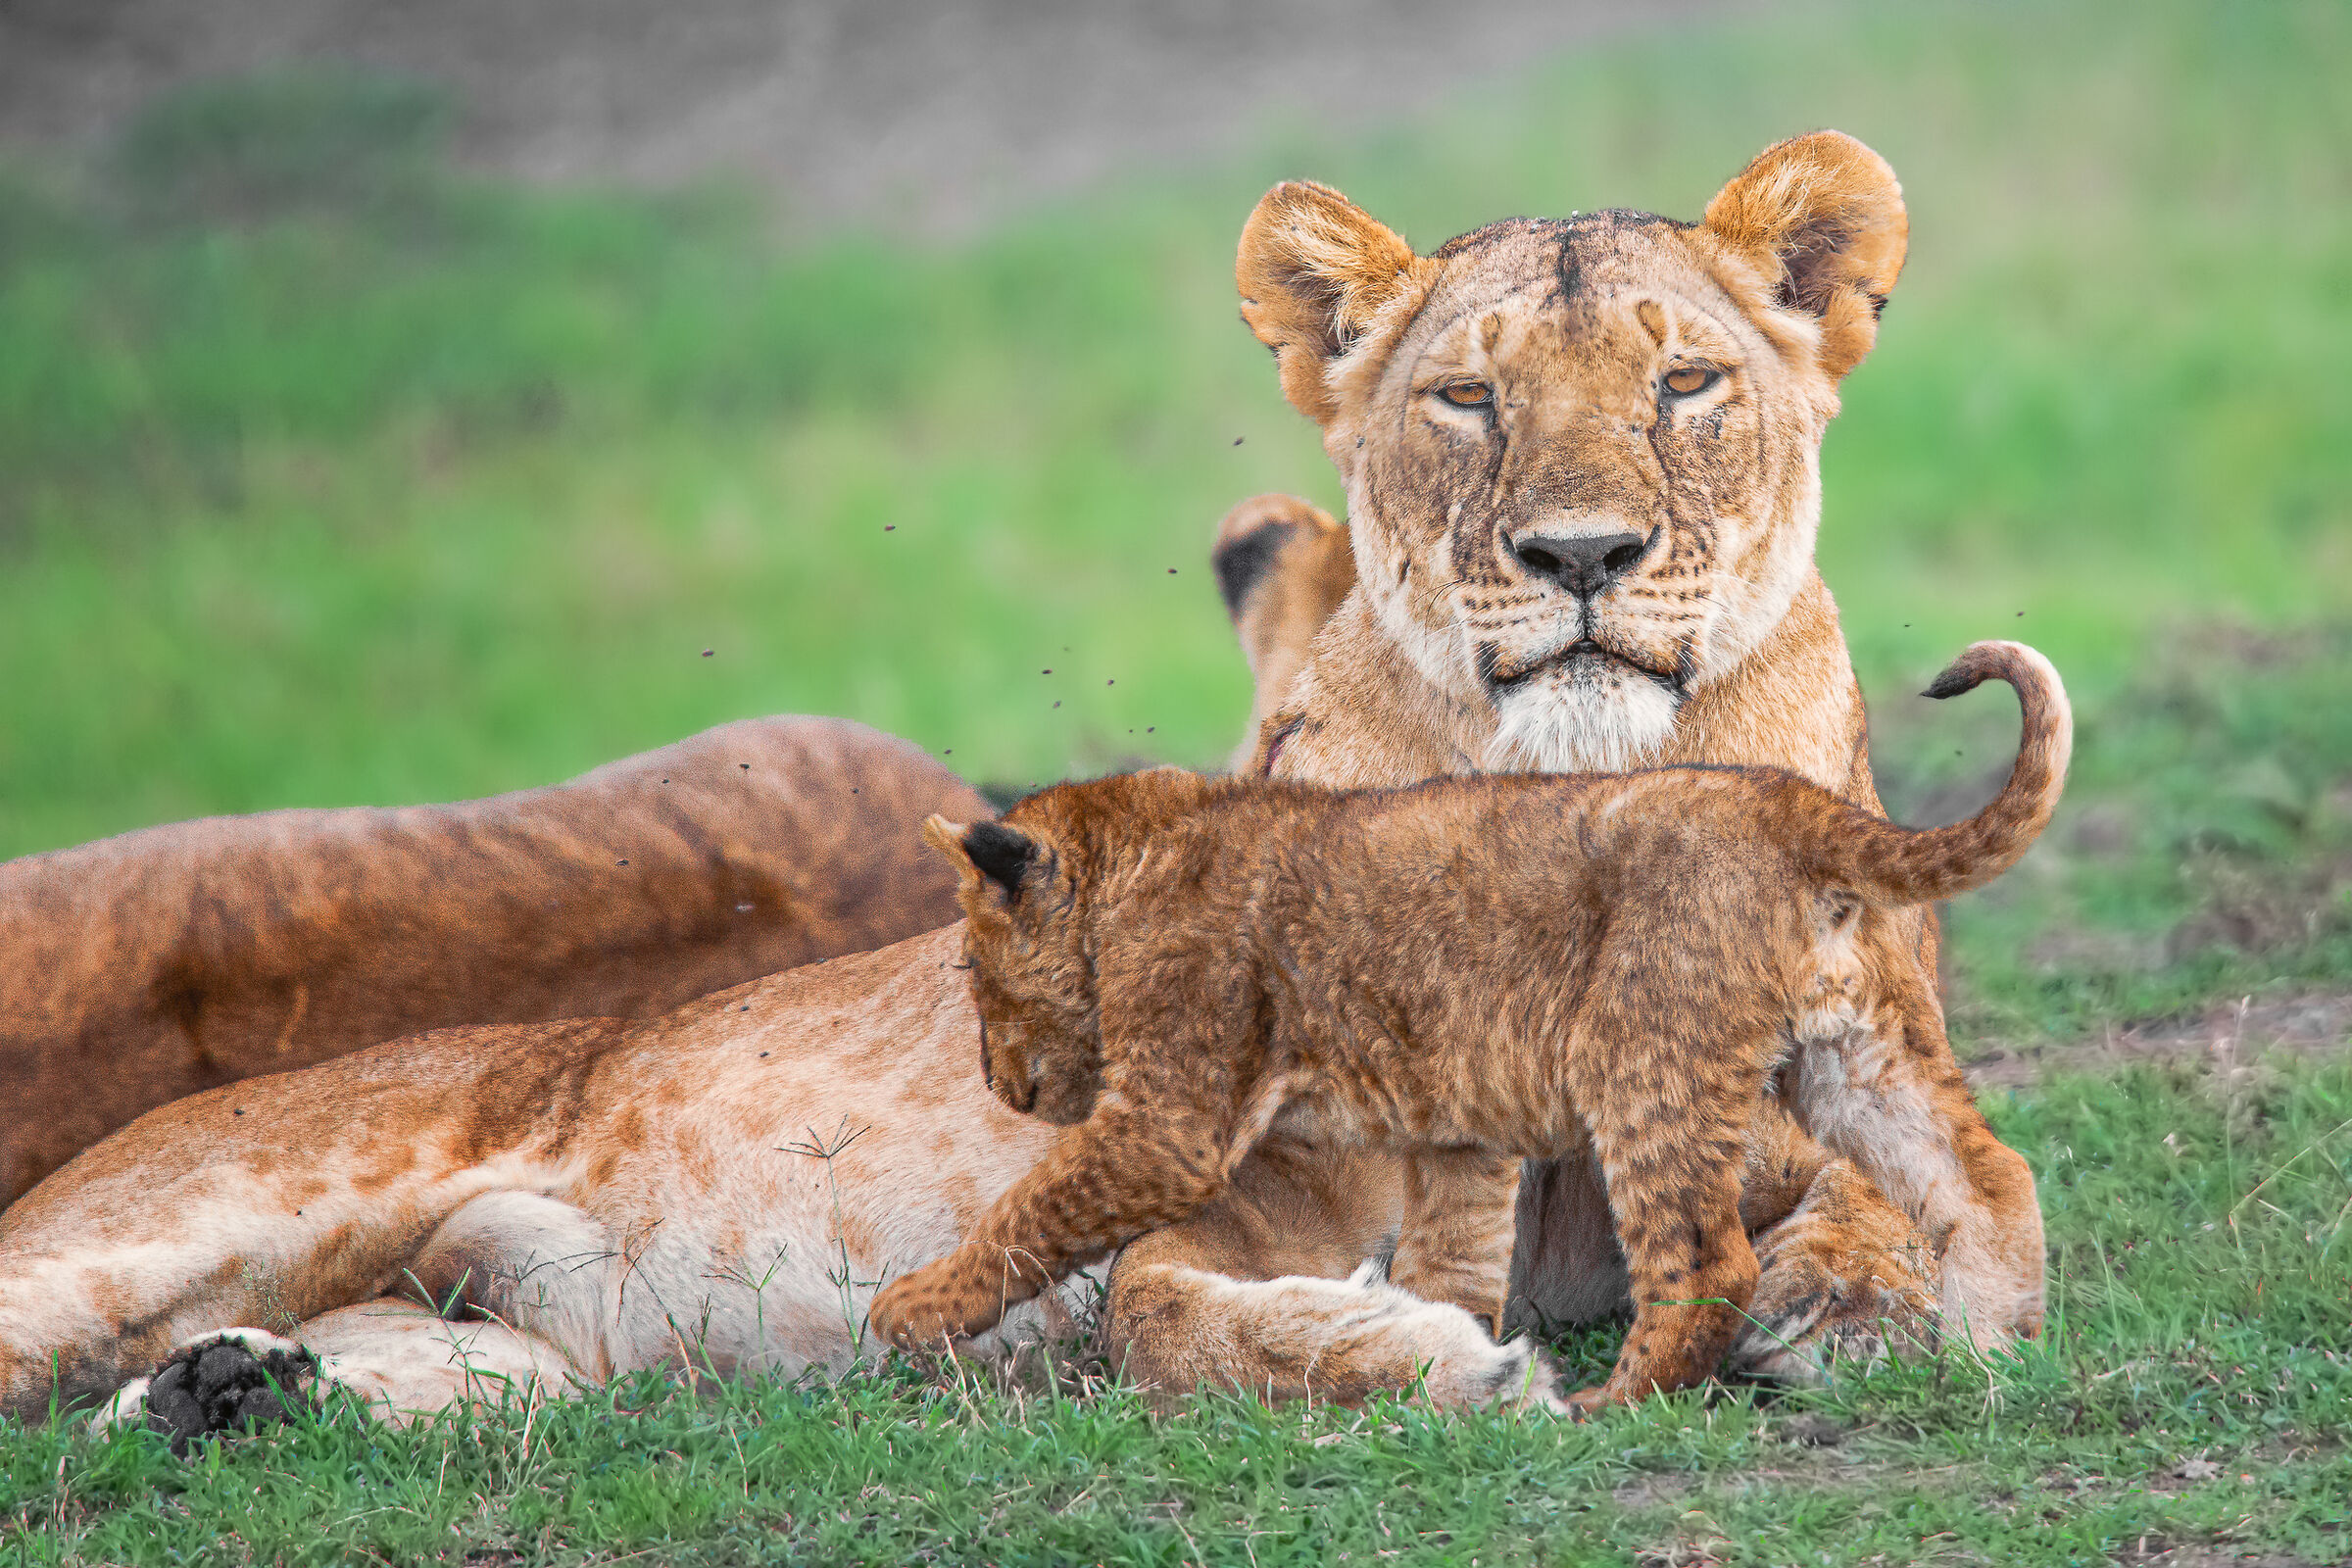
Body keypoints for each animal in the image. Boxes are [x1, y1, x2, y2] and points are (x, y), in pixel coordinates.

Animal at [1105, 129, 2049, 1386]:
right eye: (1470, 398)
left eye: (1684, 383)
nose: (1583, 553)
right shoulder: (1288, 1182)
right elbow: (1151, 1307)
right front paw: (1432, 1356)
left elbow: (1897, 1183)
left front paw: (1851, 1297)